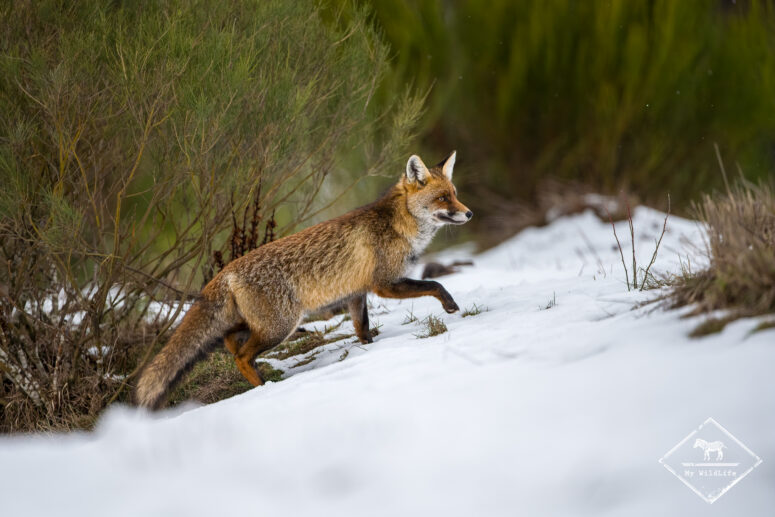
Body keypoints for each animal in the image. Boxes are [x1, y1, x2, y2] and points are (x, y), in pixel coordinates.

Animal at [136, 151, 472, 409]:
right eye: (443, 198)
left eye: (455, 194)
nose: (469, 214)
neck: (398, 225)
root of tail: (225, 271)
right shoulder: (385, 284)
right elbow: (435, 285)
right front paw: (450, 305)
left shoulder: (356, 293)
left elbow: (362, 328)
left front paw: (369, 349)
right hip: (281, 326)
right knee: (242, 357)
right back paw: (263, 385)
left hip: (259, 324)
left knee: (230, 341)